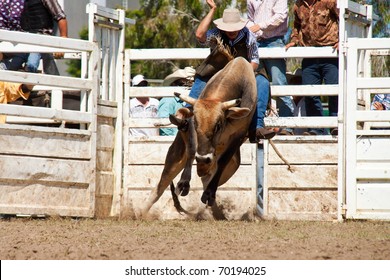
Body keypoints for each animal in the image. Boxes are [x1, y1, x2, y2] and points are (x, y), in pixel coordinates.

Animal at [142, 56, 256, 214]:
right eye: (196, 123)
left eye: (218, 125)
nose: (203, 158)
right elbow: (191, 150)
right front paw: (184, 183)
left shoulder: (239, 135)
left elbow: (222, 162)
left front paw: (209, 194)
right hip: (175, 156)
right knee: (161, 185)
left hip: (230, 168)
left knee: (209, 177)